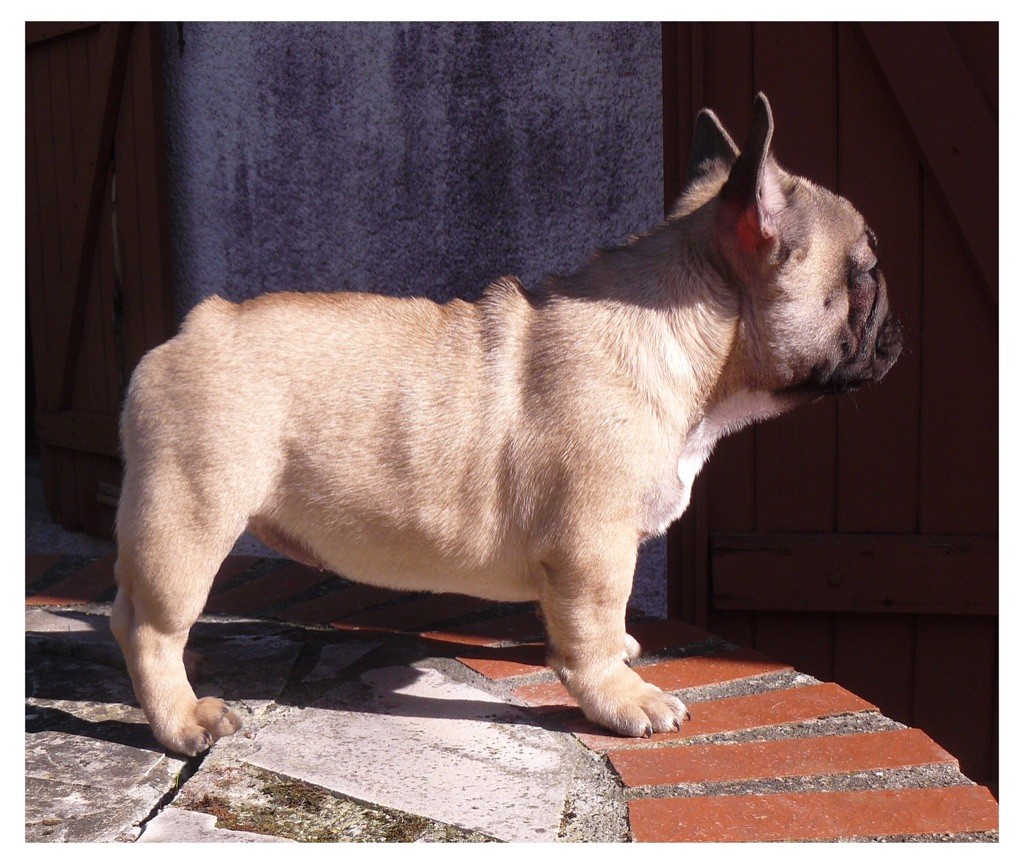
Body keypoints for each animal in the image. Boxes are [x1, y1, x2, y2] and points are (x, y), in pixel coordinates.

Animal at [111, 93, 901, 756]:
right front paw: (621, 699)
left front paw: (620, 652)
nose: (898, 325)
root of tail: (192, 330)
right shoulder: (594, 546)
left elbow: (590, 624)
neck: (687, 340)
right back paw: (182, 718)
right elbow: (591, 628)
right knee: (149, 625)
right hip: (192, 517)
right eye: (866, 273)